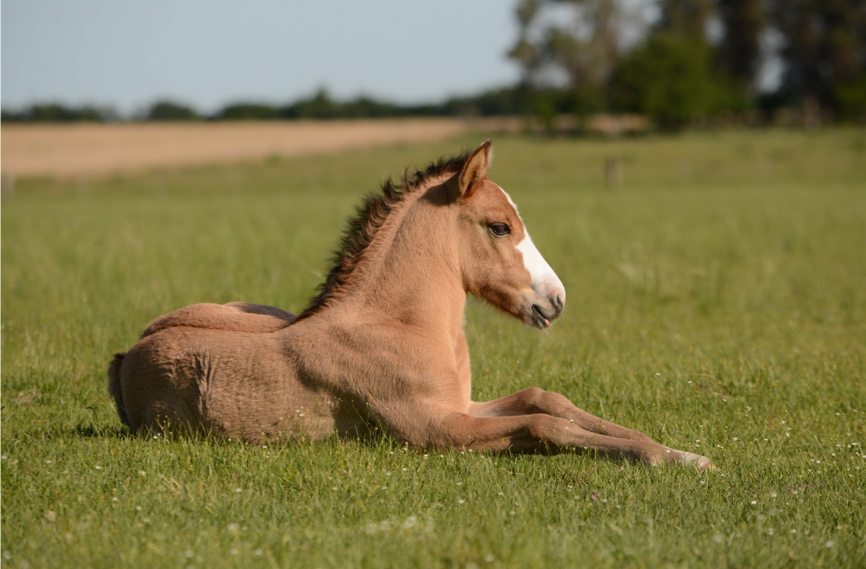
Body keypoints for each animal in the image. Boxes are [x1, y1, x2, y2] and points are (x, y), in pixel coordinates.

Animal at [108, 140, 714, 470]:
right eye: (499, 226)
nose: (556, 299)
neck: (400, 326)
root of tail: (126, 354)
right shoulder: (433, 429)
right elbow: (547, 426)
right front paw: (666, 459)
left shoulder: (462, 406)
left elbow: (548, 400)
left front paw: (680, 453)